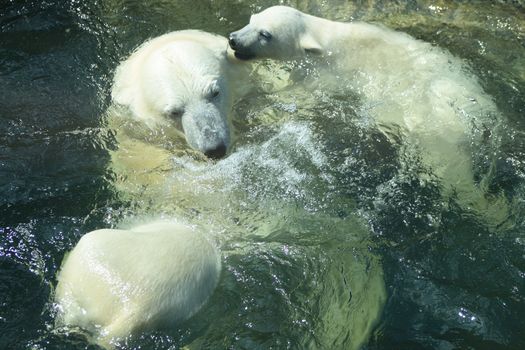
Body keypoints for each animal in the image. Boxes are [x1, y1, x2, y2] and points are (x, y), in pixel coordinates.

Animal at [229, 6, 508, 228]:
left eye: (265, 34)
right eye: (252, 19)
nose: (233, 40)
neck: (325, 39)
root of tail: (481, 123)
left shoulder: (328, 74)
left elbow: (298, 95)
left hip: (436, 134)